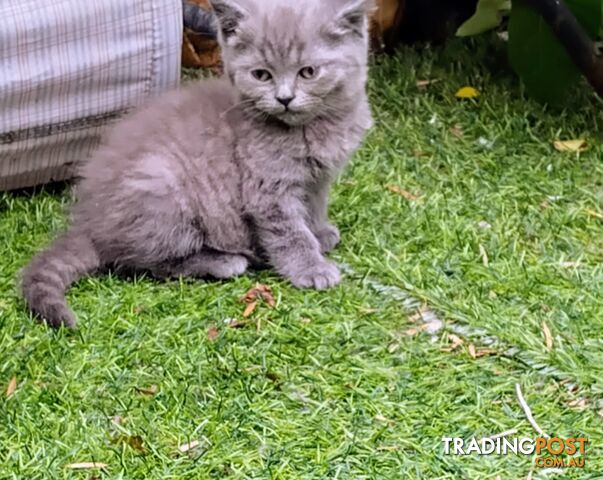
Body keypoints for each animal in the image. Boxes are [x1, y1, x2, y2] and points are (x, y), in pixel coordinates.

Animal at [22, 0, 372, 328]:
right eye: (261, 75)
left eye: (308, 72)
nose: (284, 98)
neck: (310, 128)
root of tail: (88, 223)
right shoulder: (268, 190)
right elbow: (288, 231)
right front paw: (310, 267)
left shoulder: (318, 178)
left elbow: (314, 206)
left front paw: (320, 232)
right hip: (162, 185)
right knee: (138, 262)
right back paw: (224, 262)